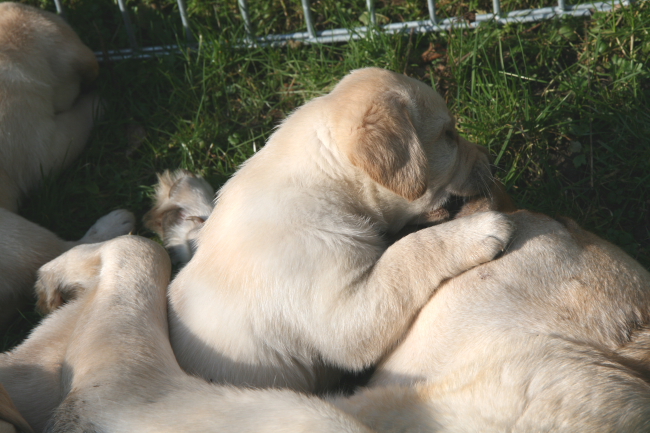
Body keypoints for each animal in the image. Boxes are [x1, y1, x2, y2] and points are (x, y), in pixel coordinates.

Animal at [0, 1, 134, 328]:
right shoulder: (46, 147)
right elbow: (77, 123)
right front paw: (99, 101)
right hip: (14, 235)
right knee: (55, 254)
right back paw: (112, 226)